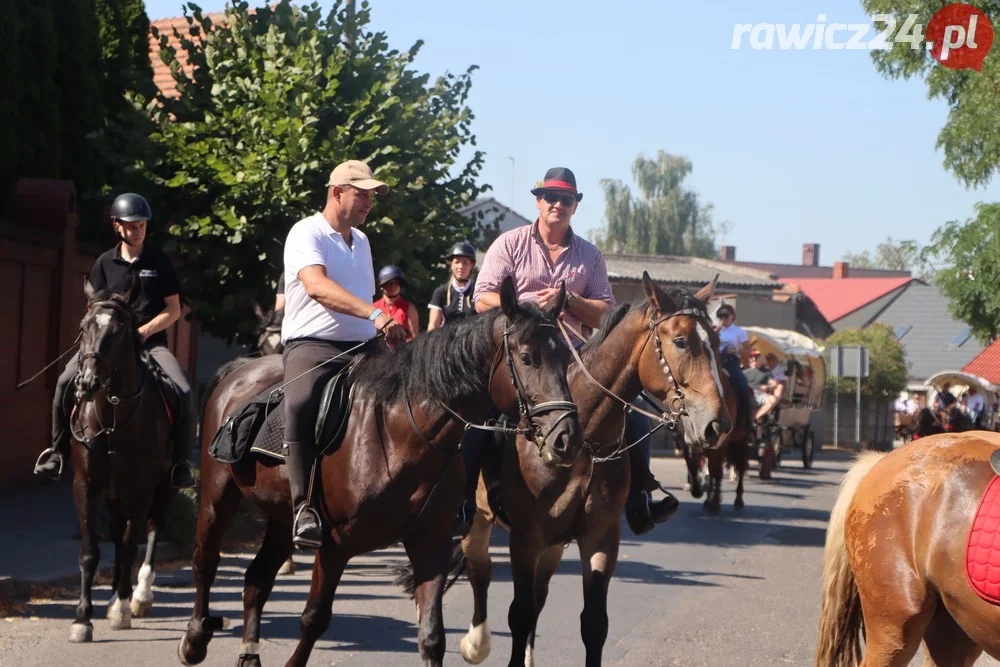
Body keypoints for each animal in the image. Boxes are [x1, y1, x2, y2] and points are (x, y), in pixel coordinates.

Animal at [67, 280, 176, 640]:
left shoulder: (142, 490)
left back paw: (138, 595)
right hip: (114, 495)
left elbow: (131, 546)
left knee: (152, 529)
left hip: (163, 488)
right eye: (83, 327)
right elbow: (91, 552)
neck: (114, 415)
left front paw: (123, 610)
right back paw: (116, 593)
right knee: (117, 533)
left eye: (119, 331)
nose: (88, 383)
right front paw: (82, 619)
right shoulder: (86, 486)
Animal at [177, 280, 584, 667]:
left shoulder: (430, 546)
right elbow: (314, 619)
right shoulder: (334, 545)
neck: (402, 431)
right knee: (205, 561)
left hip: (279, 517)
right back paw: (194, 641)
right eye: (527, 358)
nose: (567, 438)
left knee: (256, 580)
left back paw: (248, 653)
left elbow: (432, 637)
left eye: (566, 357)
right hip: (217, 498)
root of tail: (239, 371)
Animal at [398, 272, 736, 667]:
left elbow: (593, 623)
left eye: (715, 341)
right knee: (481, 571)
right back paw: (475, 644)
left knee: (537, 595)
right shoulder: (525, 538)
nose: (717, 424)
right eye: (680, 341)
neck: (583, 443)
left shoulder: (600, 537)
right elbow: (519, 613)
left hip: (554, 545)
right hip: (478, 524)